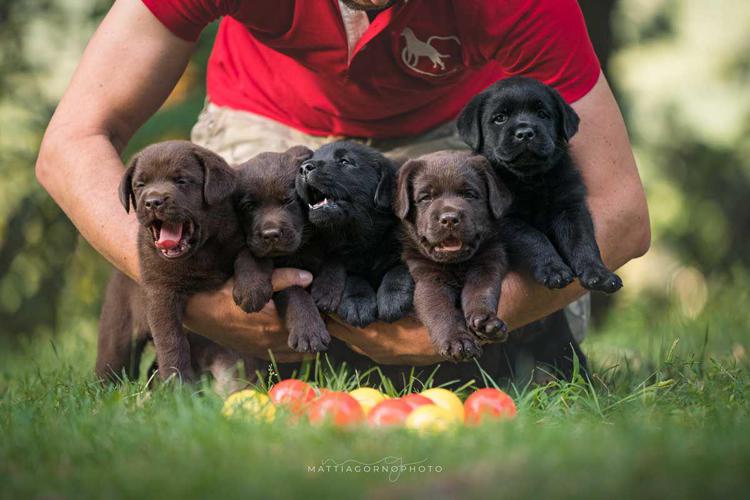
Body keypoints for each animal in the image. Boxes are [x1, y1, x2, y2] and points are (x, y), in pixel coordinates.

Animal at [95, 141, 268, 382]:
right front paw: (177, 384)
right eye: (140, 184)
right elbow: (171, 340)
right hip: (117, 333)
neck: (199, 252)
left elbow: (247, 254)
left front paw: (252, 290)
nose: (152, 202)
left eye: (182, 181)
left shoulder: (236, 234)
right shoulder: (160, 291)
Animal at [234, 146, 330, 354]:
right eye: (249, 206)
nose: (271, 235)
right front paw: (250, 287)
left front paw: (309, 331)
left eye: (288, 201)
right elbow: (294, 290)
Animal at [296, 141, 414, 328]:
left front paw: (393, 297)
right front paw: (358, 303)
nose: (304, 168)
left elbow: (400, 267)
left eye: (344, 161)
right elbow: (353, 277)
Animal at [394, 150, 512, 362]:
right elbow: (440, 310)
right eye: (426, 197)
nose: (449, 218)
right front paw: (458, 341)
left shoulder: (489, 261)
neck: (456, 264)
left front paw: (486, 322)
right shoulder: (428, 279)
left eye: (469, 194)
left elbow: (480, 290)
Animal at [458, 77, 624, 292]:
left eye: (542, 114)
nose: (525, 133)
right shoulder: (506, 221)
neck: (531, 180)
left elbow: (581, 240)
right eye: (500, 118)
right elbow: (533, 238)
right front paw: (554, 270)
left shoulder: (570, 206)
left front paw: (599, 273)